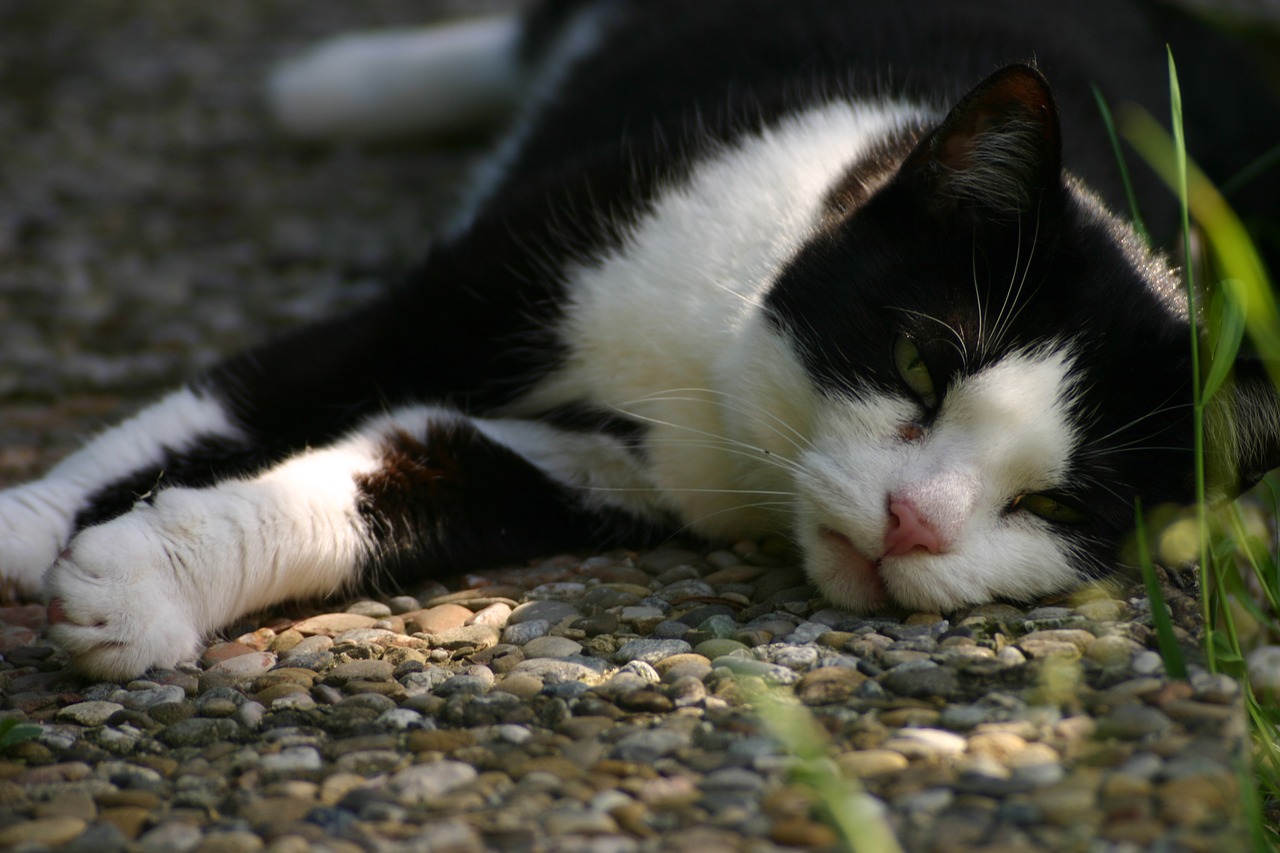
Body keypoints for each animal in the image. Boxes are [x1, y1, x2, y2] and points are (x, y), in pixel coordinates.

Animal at [2, 0, 1280, 676]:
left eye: (1055, 506)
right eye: (922, 362)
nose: (917, 523)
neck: (714, 374)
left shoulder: (596, 471)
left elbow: (389, 471)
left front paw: (144, 582)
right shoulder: (468, 289)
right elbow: (233, 402)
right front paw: (27, 528)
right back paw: (336, 85)